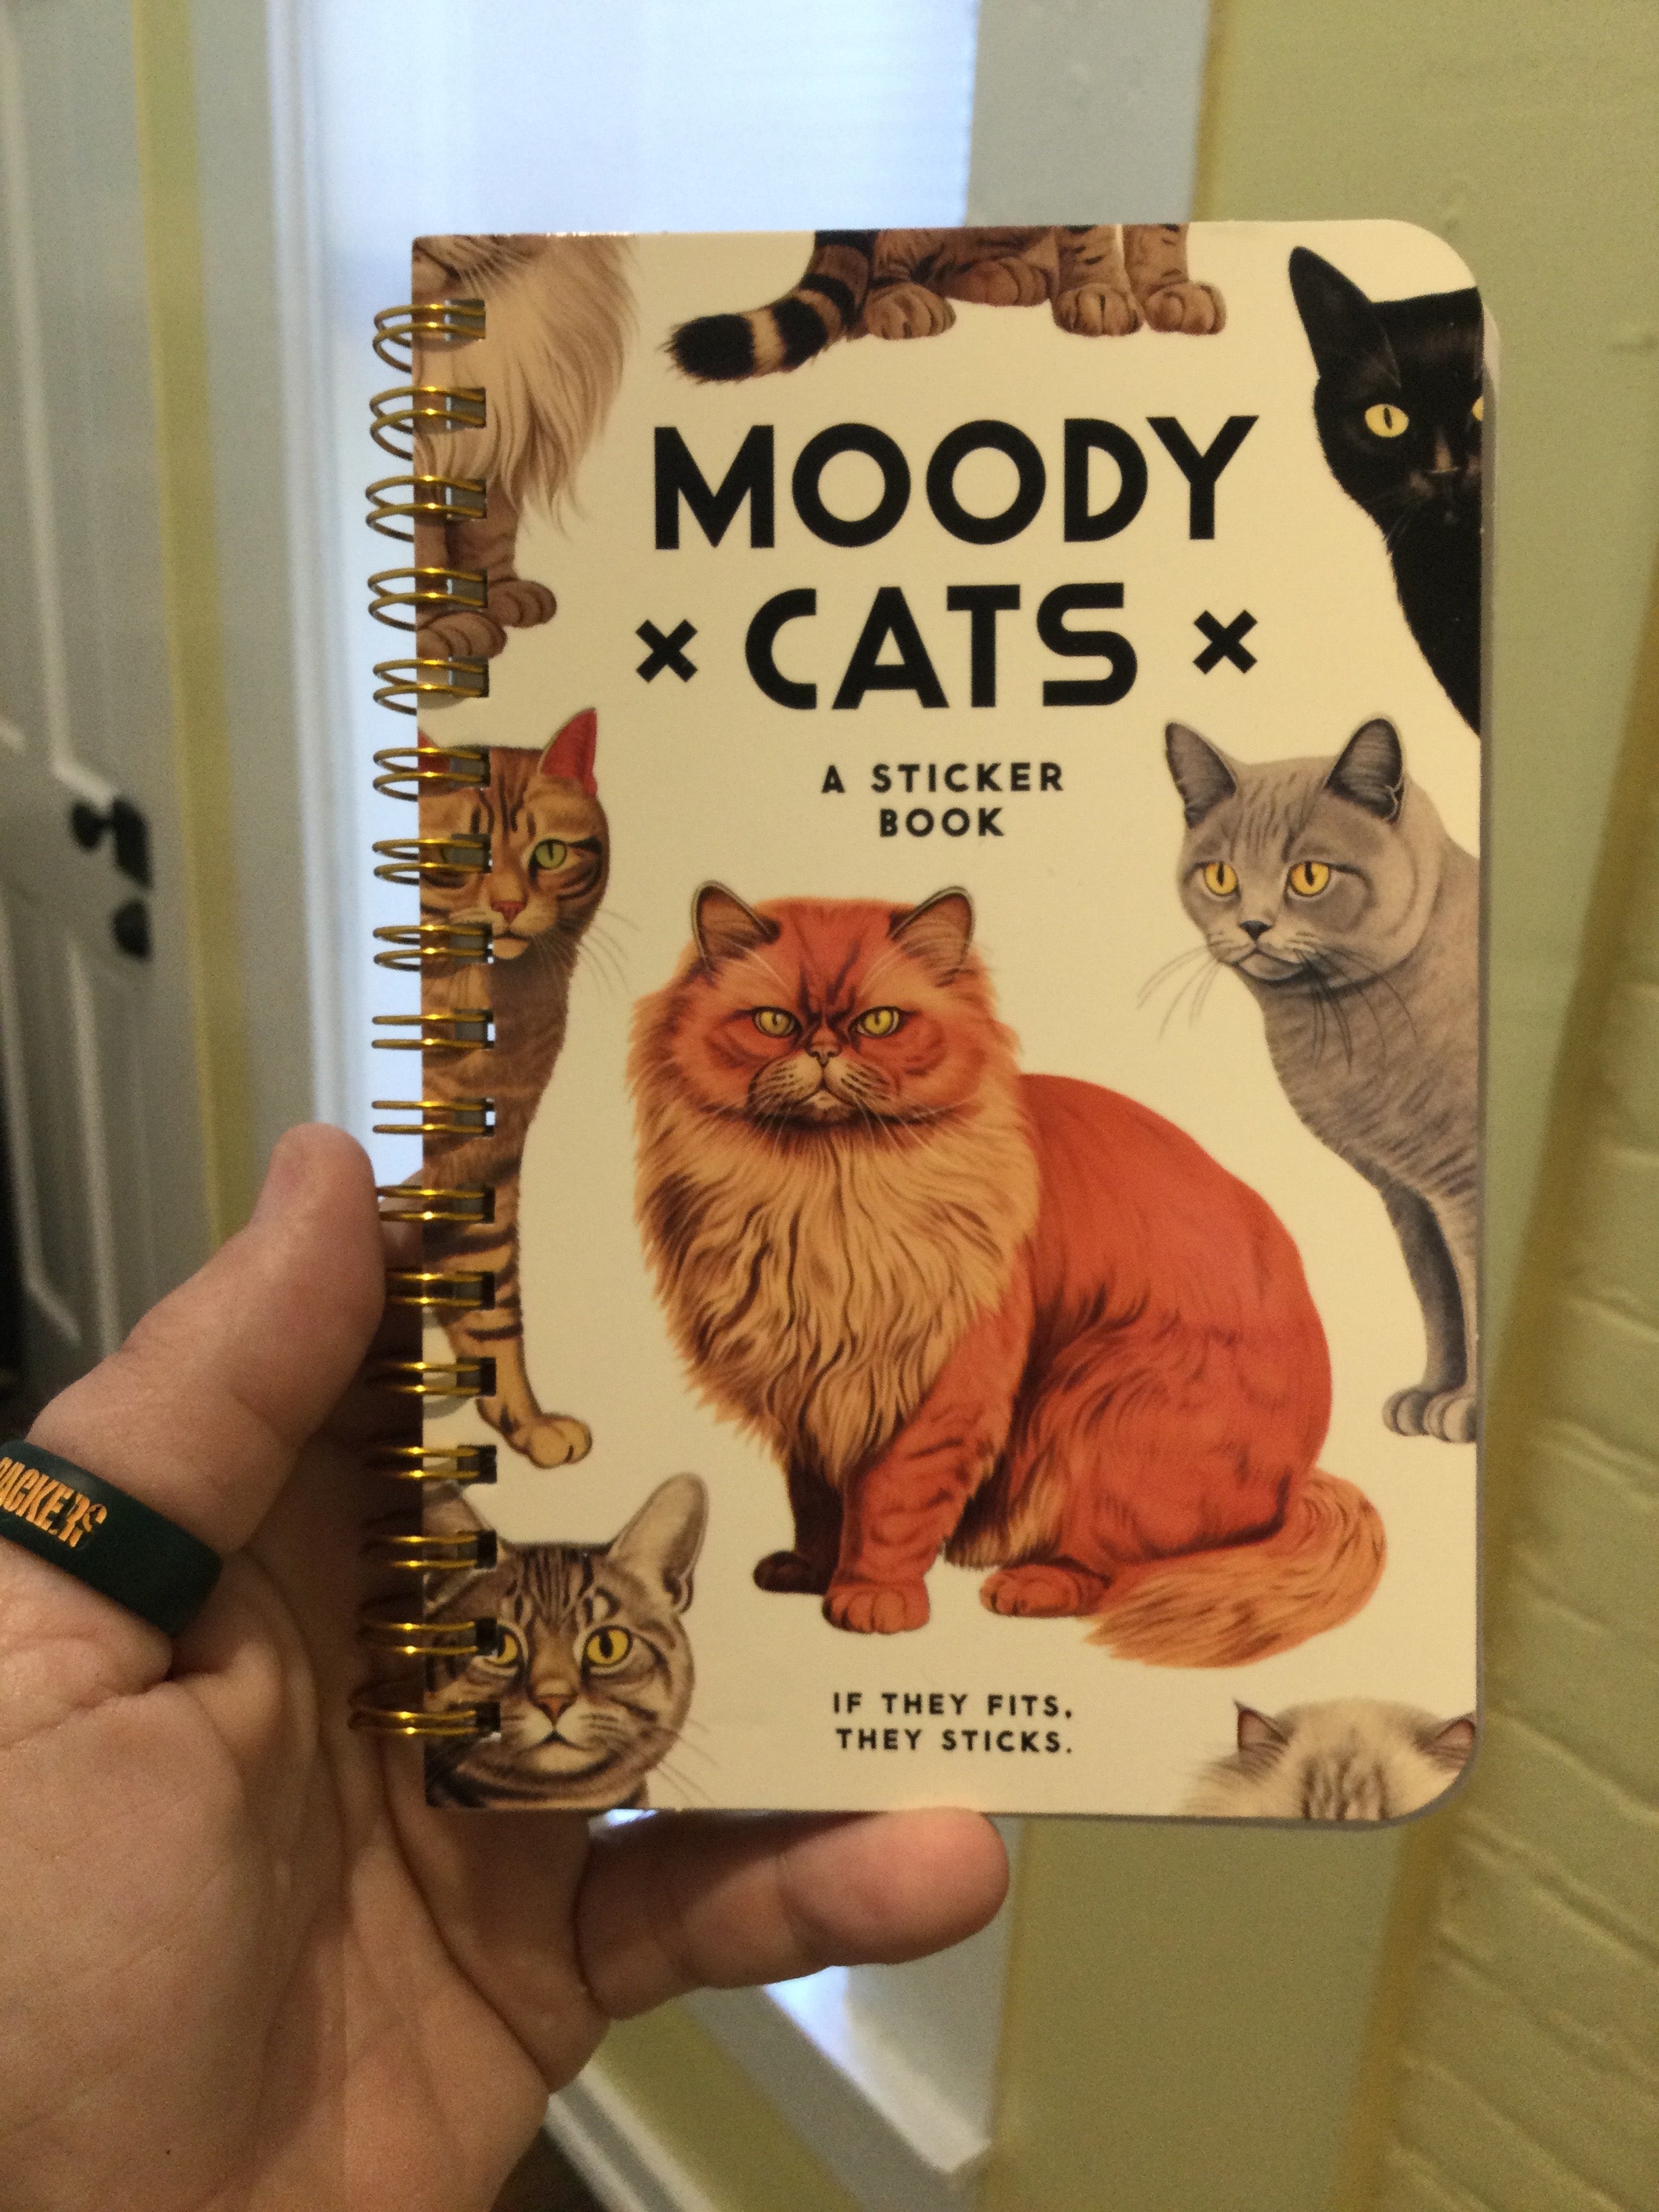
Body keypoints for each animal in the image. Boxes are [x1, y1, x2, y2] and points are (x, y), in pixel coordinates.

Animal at [414, 710, 608, 1466]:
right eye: (460, 854)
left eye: (549, 855)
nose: (506, 903)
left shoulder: (487, 1176)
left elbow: (494, 1315)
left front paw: (525, 1421)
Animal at [629, 885, 1383, 1665]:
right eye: (775, 1023)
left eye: (880, 1022)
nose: (824, 1049)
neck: (823, 1193)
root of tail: (1297, 1484)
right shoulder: (809, 1395)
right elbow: (818, 1503)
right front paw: (811, 1570)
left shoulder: (945, 1390)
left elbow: (891, 1506)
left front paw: (873, 1597)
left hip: (1101, 1403)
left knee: (1108, 1569)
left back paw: (1030, 1584)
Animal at [1165, 717, 1479, 1444]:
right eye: (1221, 876)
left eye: (1309, 876)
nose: (1253, 924)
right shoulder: (1412, 1200)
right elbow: (1441, 1301)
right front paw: (1431, 1394)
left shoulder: (1464, 1184)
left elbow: (1477, 1296)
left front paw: (1471, 1406)